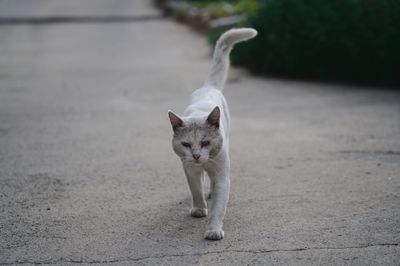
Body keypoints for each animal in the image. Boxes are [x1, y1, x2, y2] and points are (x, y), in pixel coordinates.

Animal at [168, 28, 256, 240]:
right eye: (186, 144)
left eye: (206, 142)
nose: (196, 155)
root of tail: (209, 87)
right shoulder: (189, 169)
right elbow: (196, 190)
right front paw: (199, 209)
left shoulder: (222, 176)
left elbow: (218, 206)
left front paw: (214, 230)